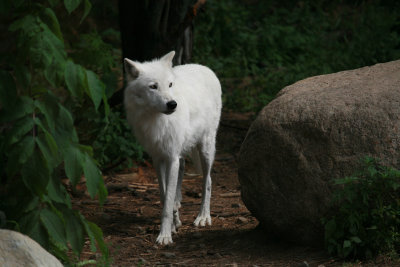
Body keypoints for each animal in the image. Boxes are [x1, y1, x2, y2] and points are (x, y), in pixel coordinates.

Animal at [123, 51, 222, 246]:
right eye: (153, 86)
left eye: (170, 84)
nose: (172, 104)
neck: (157, 120)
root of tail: (205, 67)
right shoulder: (158, 159)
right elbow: (164, 195)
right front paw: (174, 223)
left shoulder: (172, 158)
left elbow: (167, 202)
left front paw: (165, 235)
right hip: (182, 154)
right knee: (182, 178)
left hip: (205, 149)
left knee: (207, 180)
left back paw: (203, 216)